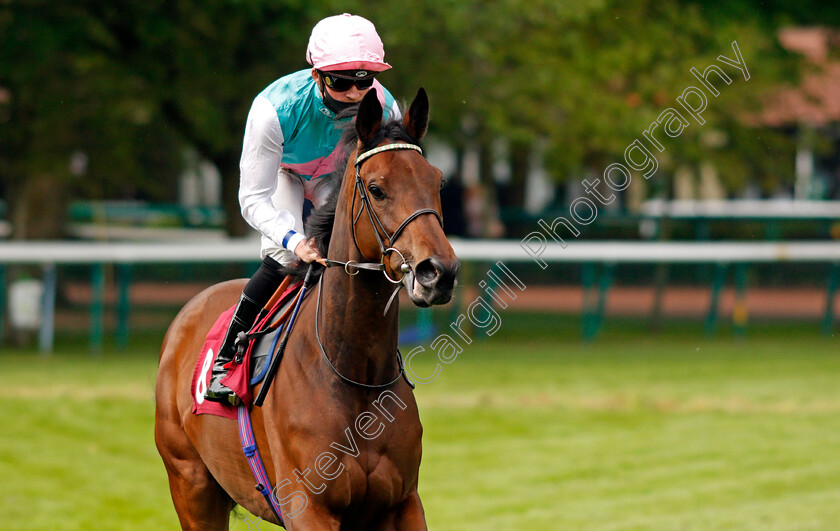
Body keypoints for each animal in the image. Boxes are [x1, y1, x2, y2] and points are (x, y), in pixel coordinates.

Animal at [156, 89, 460, 528]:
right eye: (376, 188)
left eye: (438, 182)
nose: (439, 272)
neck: (353, 373)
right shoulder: (308, 506)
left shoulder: (402, 502)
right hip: (190, 482)